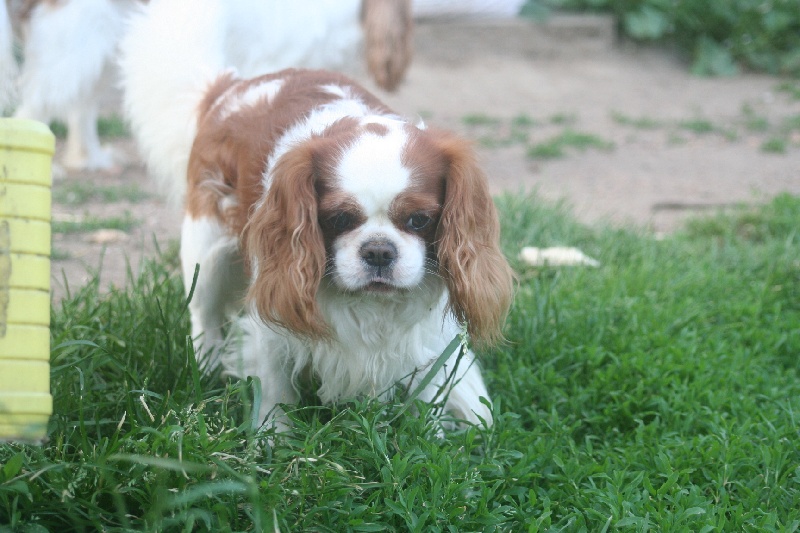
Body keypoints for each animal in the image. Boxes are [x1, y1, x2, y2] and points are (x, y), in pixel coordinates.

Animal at [178, 69, 516, 428]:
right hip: (205, 249)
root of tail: (235, 84)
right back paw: (206, 367)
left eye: (419, 219)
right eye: (339, 218)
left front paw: (428, 433)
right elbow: (273, 390)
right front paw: (271, 436)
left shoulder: (425, 337)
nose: (379, 251)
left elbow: (426, 396)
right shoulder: (271, 320)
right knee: (203, 313)